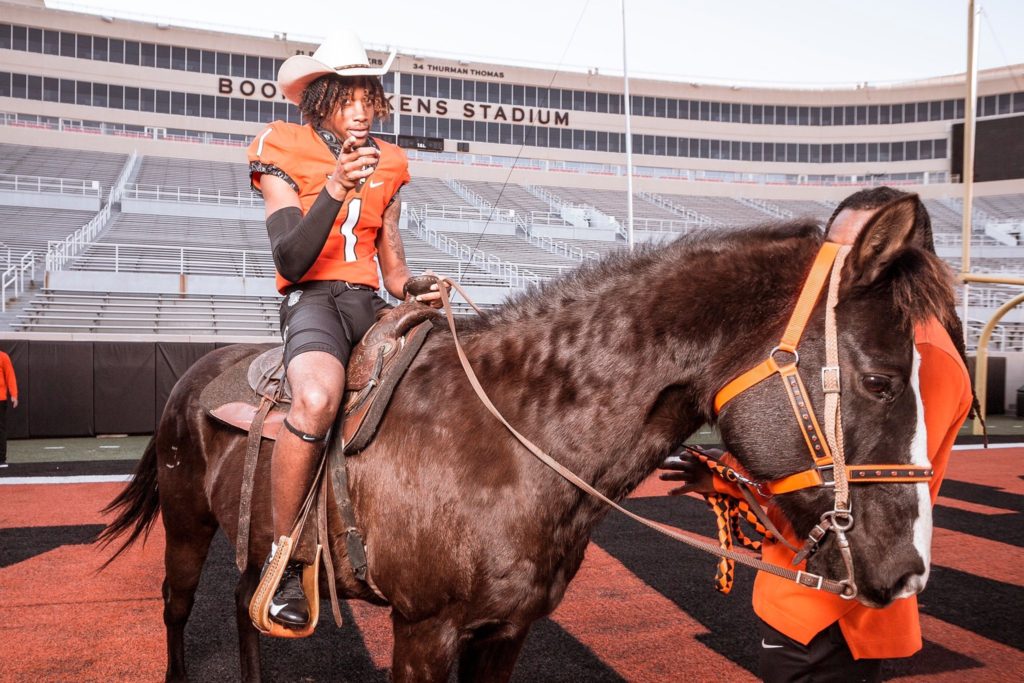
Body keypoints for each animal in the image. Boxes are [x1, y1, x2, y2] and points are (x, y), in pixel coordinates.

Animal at [99, 194, 954, 679]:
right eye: (881, 378)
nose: (910, 572)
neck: (507, 441)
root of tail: (193, 369)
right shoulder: (423, 630)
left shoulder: (503, 632)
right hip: (187, 526)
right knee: (179, 609)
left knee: (246, 599)